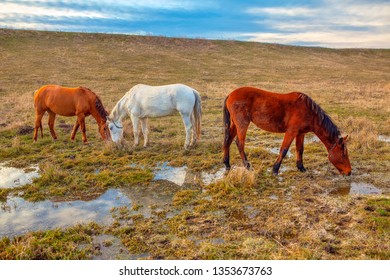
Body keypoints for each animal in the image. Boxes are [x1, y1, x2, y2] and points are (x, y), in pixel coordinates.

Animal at [224, 86, 352, 176]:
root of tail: (230, 94)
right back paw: (247, 166)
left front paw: (301, 167)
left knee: (227, 141)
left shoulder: (300, 133)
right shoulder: (291, 132)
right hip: (242, 124)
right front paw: (275, 170)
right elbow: (284, 150)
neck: (310, 112)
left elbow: (300, 149)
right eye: (343, 154)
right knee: (240, 143)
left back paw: (227, 164)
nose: (349, 172)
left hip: (235, 125)